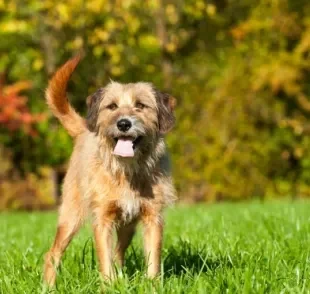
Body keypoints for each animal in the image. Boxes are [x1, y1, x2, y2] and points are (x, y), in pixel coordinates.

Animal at [43, 54, 177, 284]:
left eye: (141, 105)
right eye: (112, 106)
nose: (123, 124)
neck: (126, 171)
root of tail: (83, 131)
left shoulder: (153, 217)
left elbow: (153, 259)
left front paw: (152, 285)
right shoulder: (102, 218)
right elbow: (104, 259)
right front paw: (108, 285)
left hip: (128, 227)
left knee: (118, 252)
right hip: (70, 217)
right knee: (53, 254)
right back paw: (48, 286)